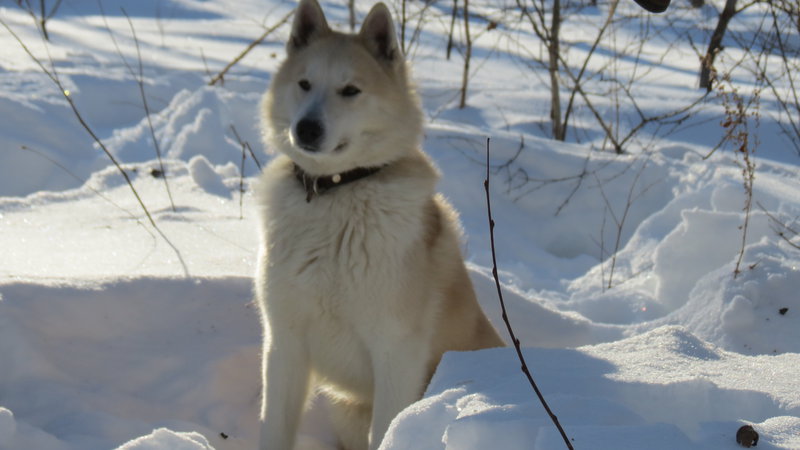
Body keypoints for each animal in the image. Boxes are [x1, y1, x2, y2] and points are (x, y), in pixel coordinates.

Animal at [255, 1, 506, 448]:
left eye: (350, 90)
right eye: (304, 84)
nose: (306, 128)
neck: (336, 192)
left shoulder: (396, 351)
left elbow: (388, 426)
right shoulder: (284, 342)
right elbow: (275, 428)